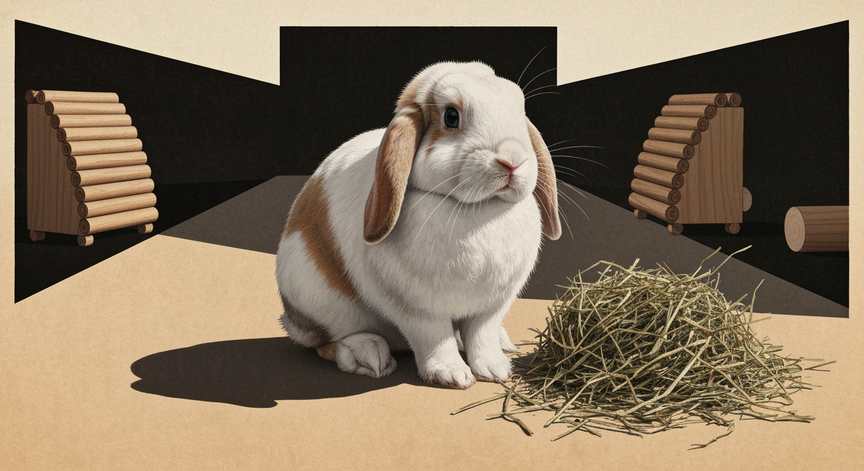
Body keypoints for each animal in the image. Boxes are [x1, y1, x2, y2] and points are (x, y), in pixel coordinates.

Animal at [275, 61, 560, 389]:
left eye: (519, 108)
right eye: (451, 116)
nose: (512, 160)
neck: (476, 210)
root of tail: (289, 317)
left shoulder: (493, 304)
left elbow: (482, 335)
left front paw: (495, 370)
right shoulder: (417, 308)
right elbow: (434, 338)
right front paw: (451, 375)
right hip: (317, 300)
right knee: (323, 341)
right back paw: (368, 355)